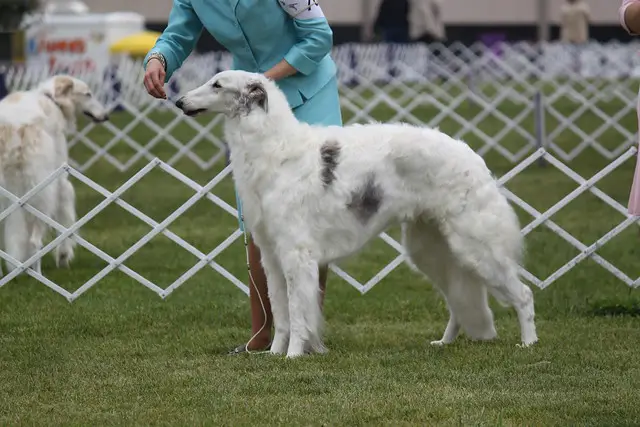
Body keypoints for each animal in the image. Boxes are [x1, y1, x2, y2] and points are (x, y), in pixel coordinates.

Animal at [0, 76, 109, 278]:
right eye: (88, 94)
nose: (106, 116)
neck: (52, 100)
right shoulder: (60, 180)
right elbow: (66, 220)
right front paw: (64, 256)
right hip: (41, 193)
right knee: (35, 240)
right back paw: (37, 273)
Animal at [174, 69, 536, 358]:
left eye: (217, 84)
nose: (178, 101)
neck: (275, 149)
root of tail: (473, 157)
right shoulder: (271, 255)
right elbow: (280, 312)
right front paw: (274, 354)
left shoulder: (296, 253)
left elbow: (298, 312)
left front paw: (293, 356)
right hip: (431, 250)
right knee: (458, 303)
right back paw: (444, 342)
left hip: (475, 246)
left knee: (524, 294)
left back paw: (529, 343)